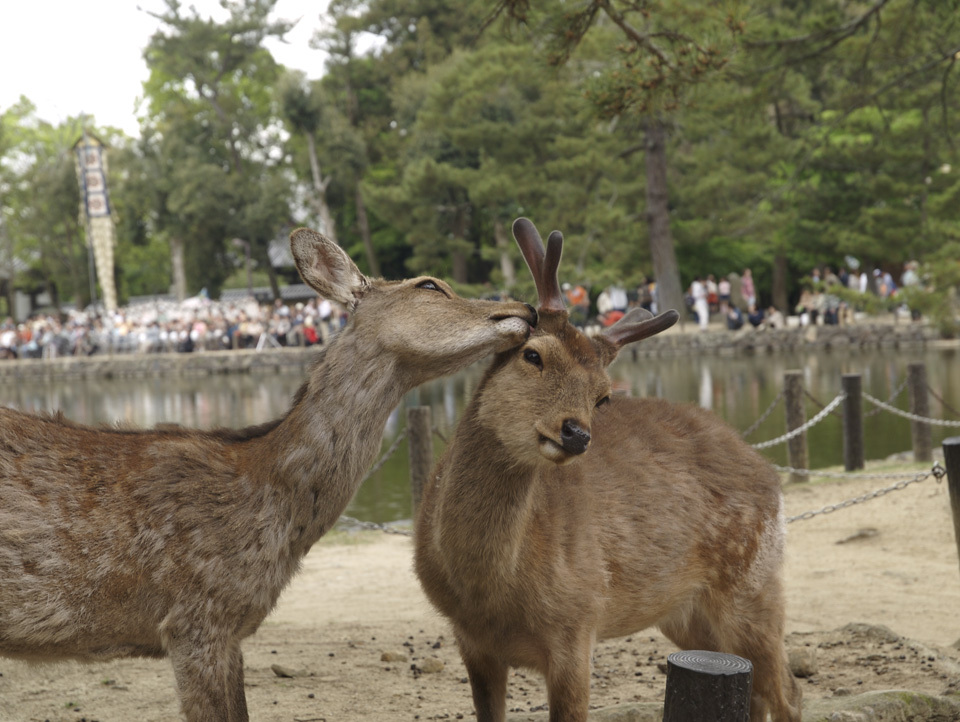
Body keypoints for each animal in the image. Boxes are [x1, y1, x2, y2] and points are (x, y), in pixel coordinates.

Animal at [412, 218, 804, 720]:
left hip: (753, 585)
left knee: (787, 690)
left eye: (603, 396)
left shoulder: (578, 623)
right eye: (532, 355)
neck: (489, 594)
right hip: (686, 614)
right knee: (752, 687)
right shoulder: (471, 642)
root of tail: (770, 473)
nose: (576, 433)